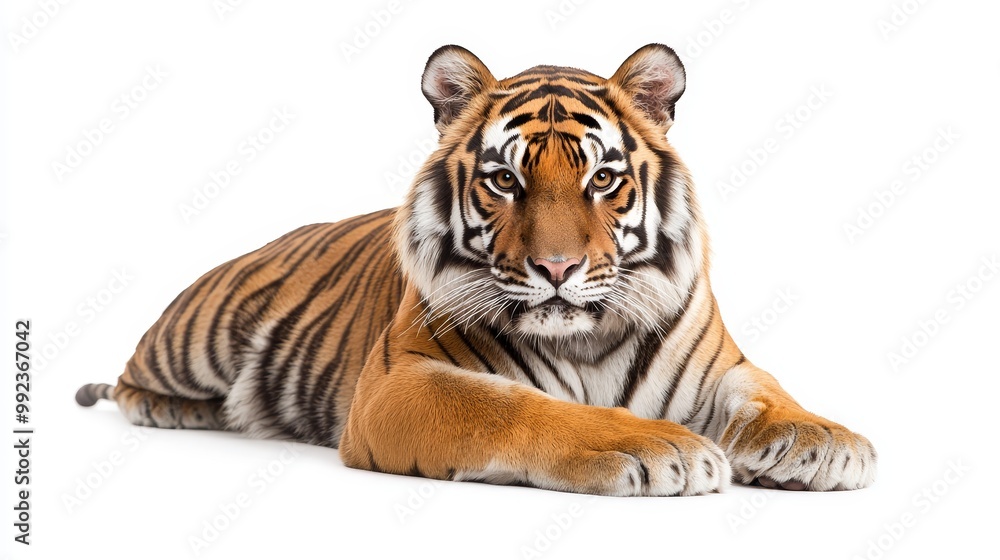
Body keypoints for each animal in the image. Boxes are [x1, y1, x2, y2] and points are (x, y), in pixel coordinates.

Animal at [76, 44, 876, 496]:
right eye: (505, 181)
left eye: (601, 181)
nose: (557, 266)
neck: (585, 338)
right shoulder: (397, 382)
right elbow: (513, 407)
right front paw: (653, 445)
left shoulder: (720, 364)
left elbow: (768, 392)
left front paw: (821, 442)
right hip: (193, 337)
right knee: (128, 378)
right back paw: (177, 409)